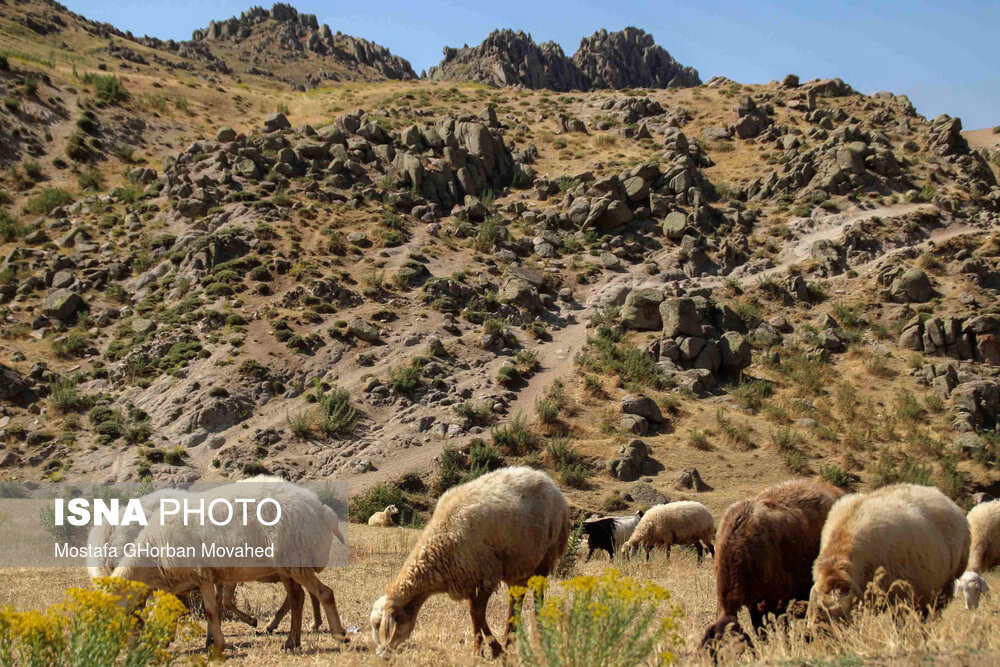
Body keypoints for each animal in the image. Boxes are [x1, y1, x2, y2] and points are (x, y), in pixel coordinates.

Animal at [109, 478, 348, 648]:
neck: (153, 556)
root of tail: (321, 509)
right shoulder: (181, 583)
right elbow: (176, 610)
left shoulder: (202, 575)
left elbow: (211, 611)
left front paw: (218, 644)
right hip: (288, 564)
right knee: (297, 597)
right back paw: (291, 642)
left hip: (295, 559)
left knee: (324, 593)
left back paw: (338, 635)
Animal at [370, 468, 572, 660]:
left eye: (380, 625)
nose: (381, 655)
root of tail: (547, 479)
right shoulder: (468, 577)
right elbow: (474, 616)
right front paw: (479, 651)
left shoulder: (484, 575)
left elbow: (477, 613)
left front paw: (495, 650)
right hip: (518, 564)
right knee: (516, 601)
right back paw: (509, 639)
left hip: (546, 555)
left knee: (538, 596)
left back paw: (538, 634)